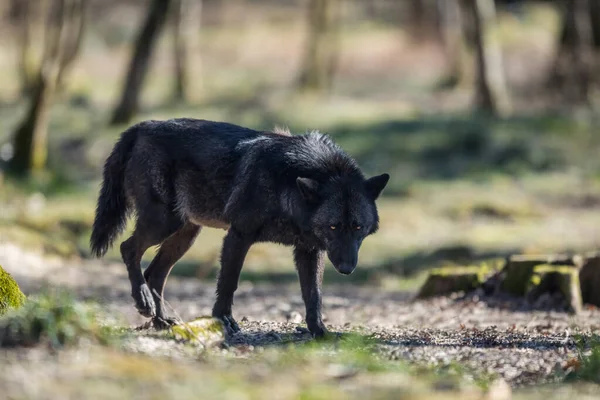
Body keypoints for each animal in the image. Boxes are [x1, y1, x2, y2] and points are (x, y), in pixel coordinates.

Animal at [89, 119, 390, 338]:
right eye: (333, 226)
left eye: (358, 227)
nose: (347, 268)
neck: (287, 186)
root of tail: (141, 127)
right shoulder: (238, 235)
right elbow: (229, 283)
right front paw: (224, 320)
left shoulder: (309, 250)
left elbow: (313, 295)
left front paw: (320, 331)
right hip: (163, 222)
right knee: (128, 249)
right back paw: (143, 302)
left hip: (185, 234)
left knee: (155, 273)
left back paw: (161, 321)